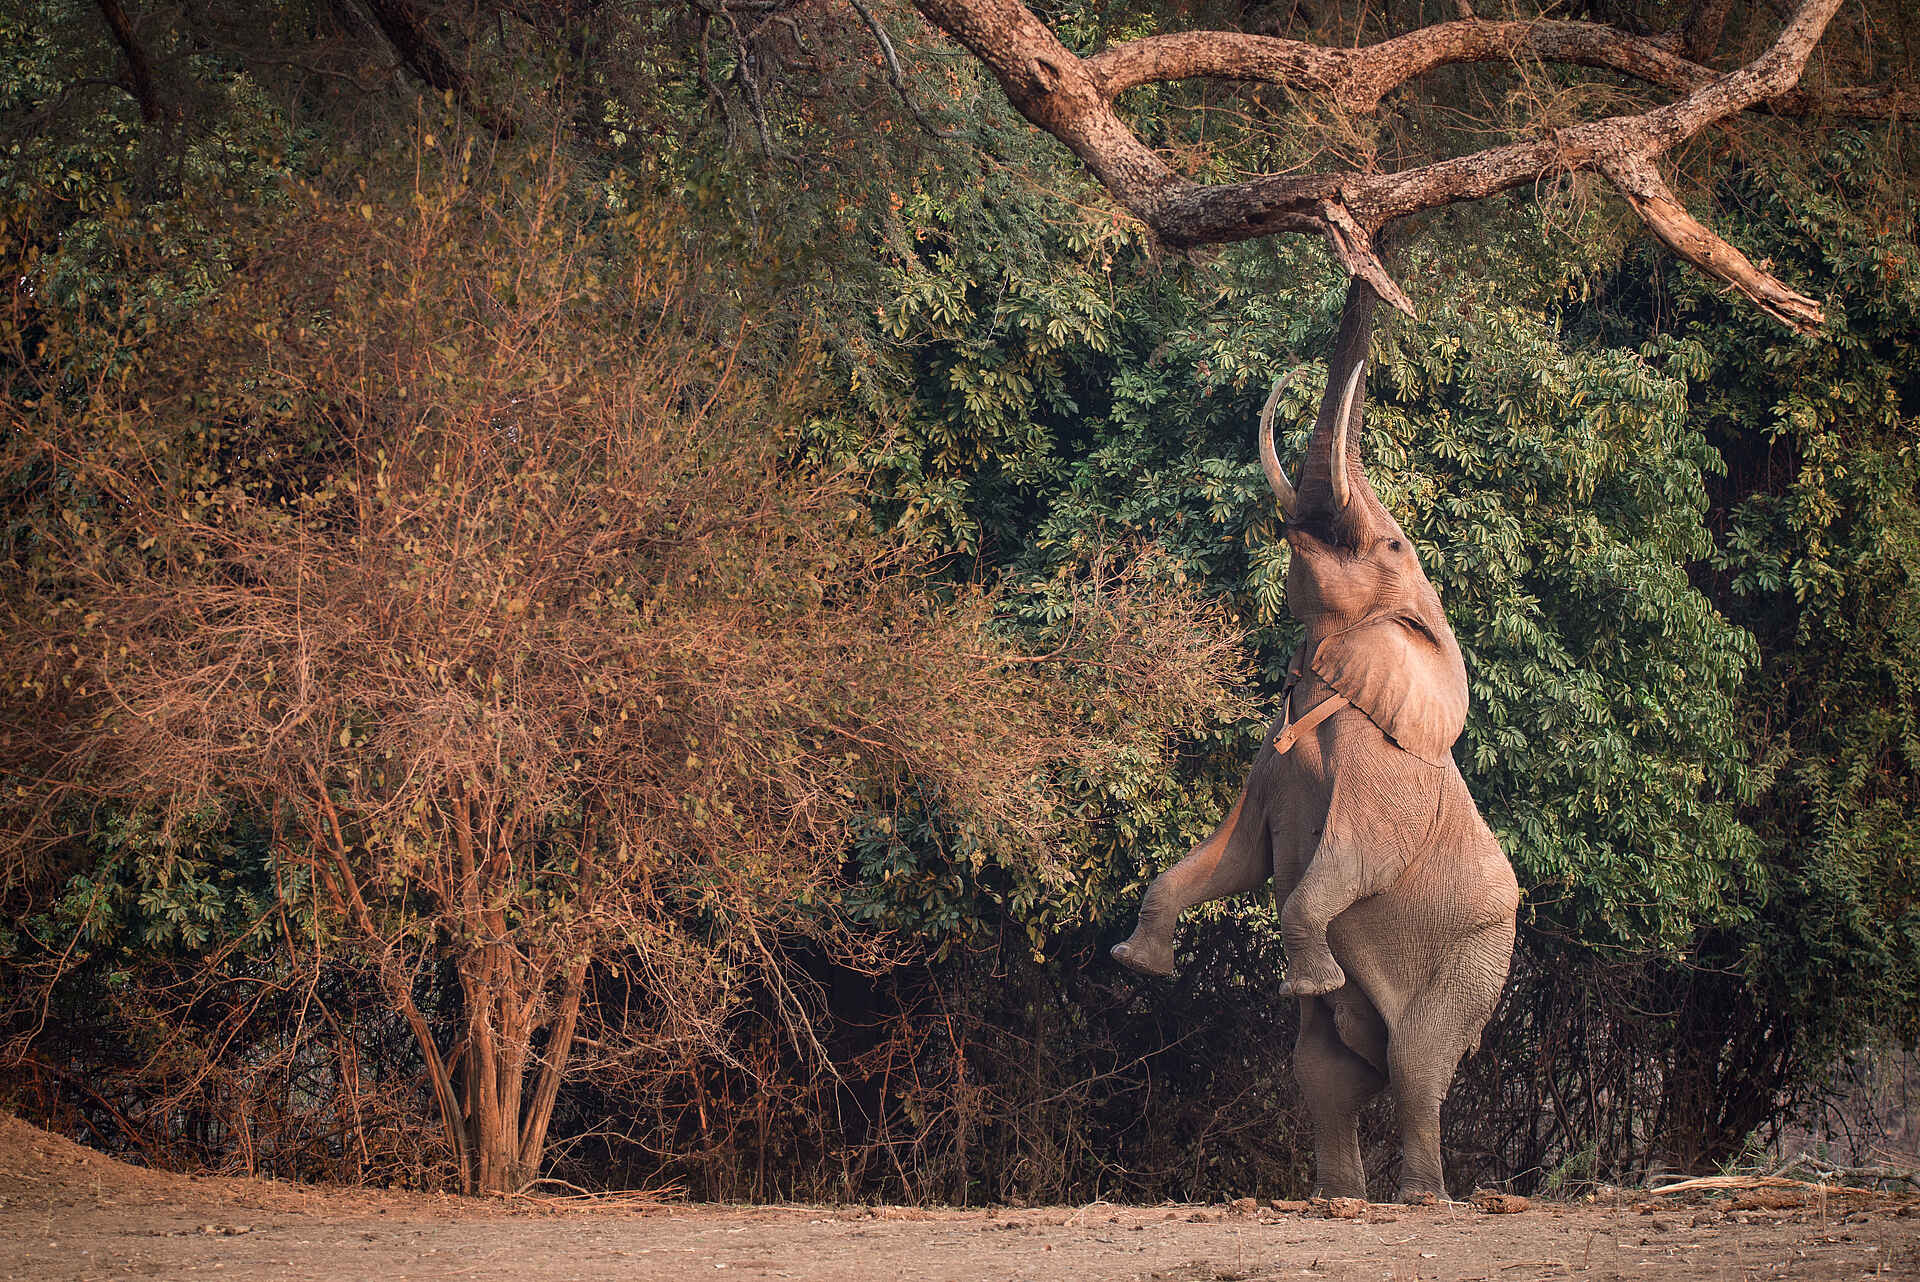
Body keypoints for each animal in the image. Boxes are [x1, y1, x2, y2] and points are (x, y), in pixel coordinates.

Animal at [1111, 280, 1519, 1202]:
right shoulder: (1270, 754)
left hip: (1475, 957)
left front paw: (1306, 973)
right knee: (1324, 1071)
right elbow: (1235, 857)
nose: (1289, 521)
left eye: (1391, 544)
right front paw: (1137, 965)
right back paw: (1337, 1199)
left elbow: (1349, 861)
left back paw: (1420, 1199)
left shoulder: (1383, 767)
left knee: (1415, 1064)